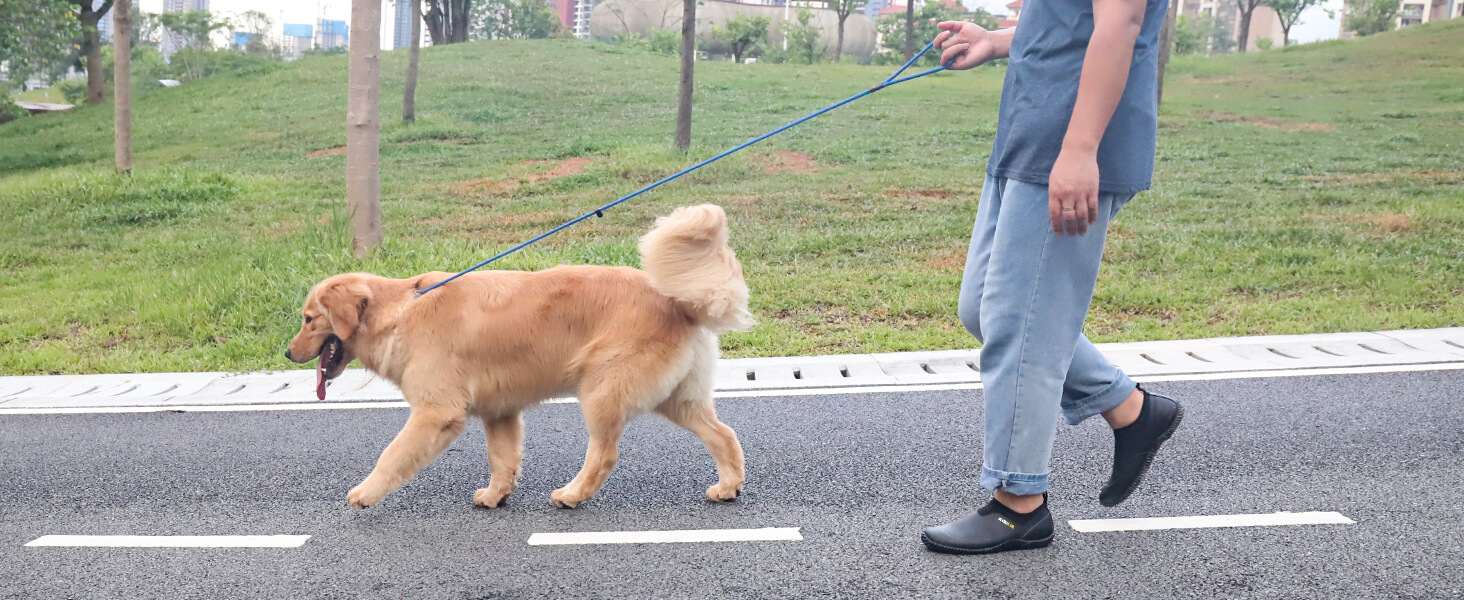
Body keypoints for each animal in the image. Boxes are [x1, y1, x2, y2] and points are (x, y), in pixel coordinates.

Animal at [282, 203, 755, 509]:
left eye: (308, 319)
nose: (287, 352)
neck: (399, 312)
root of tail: (676, 301)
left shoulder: (436, 412)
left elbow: (392, 454)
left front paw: (365, 493)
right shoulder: (500, 412)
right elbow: (502, 458)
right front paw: (496, 495)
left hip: (601, 391)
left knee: (604, 455)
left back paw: (572, 494)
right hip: (677, 398)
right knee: (724, 434)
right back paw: (728, 486)